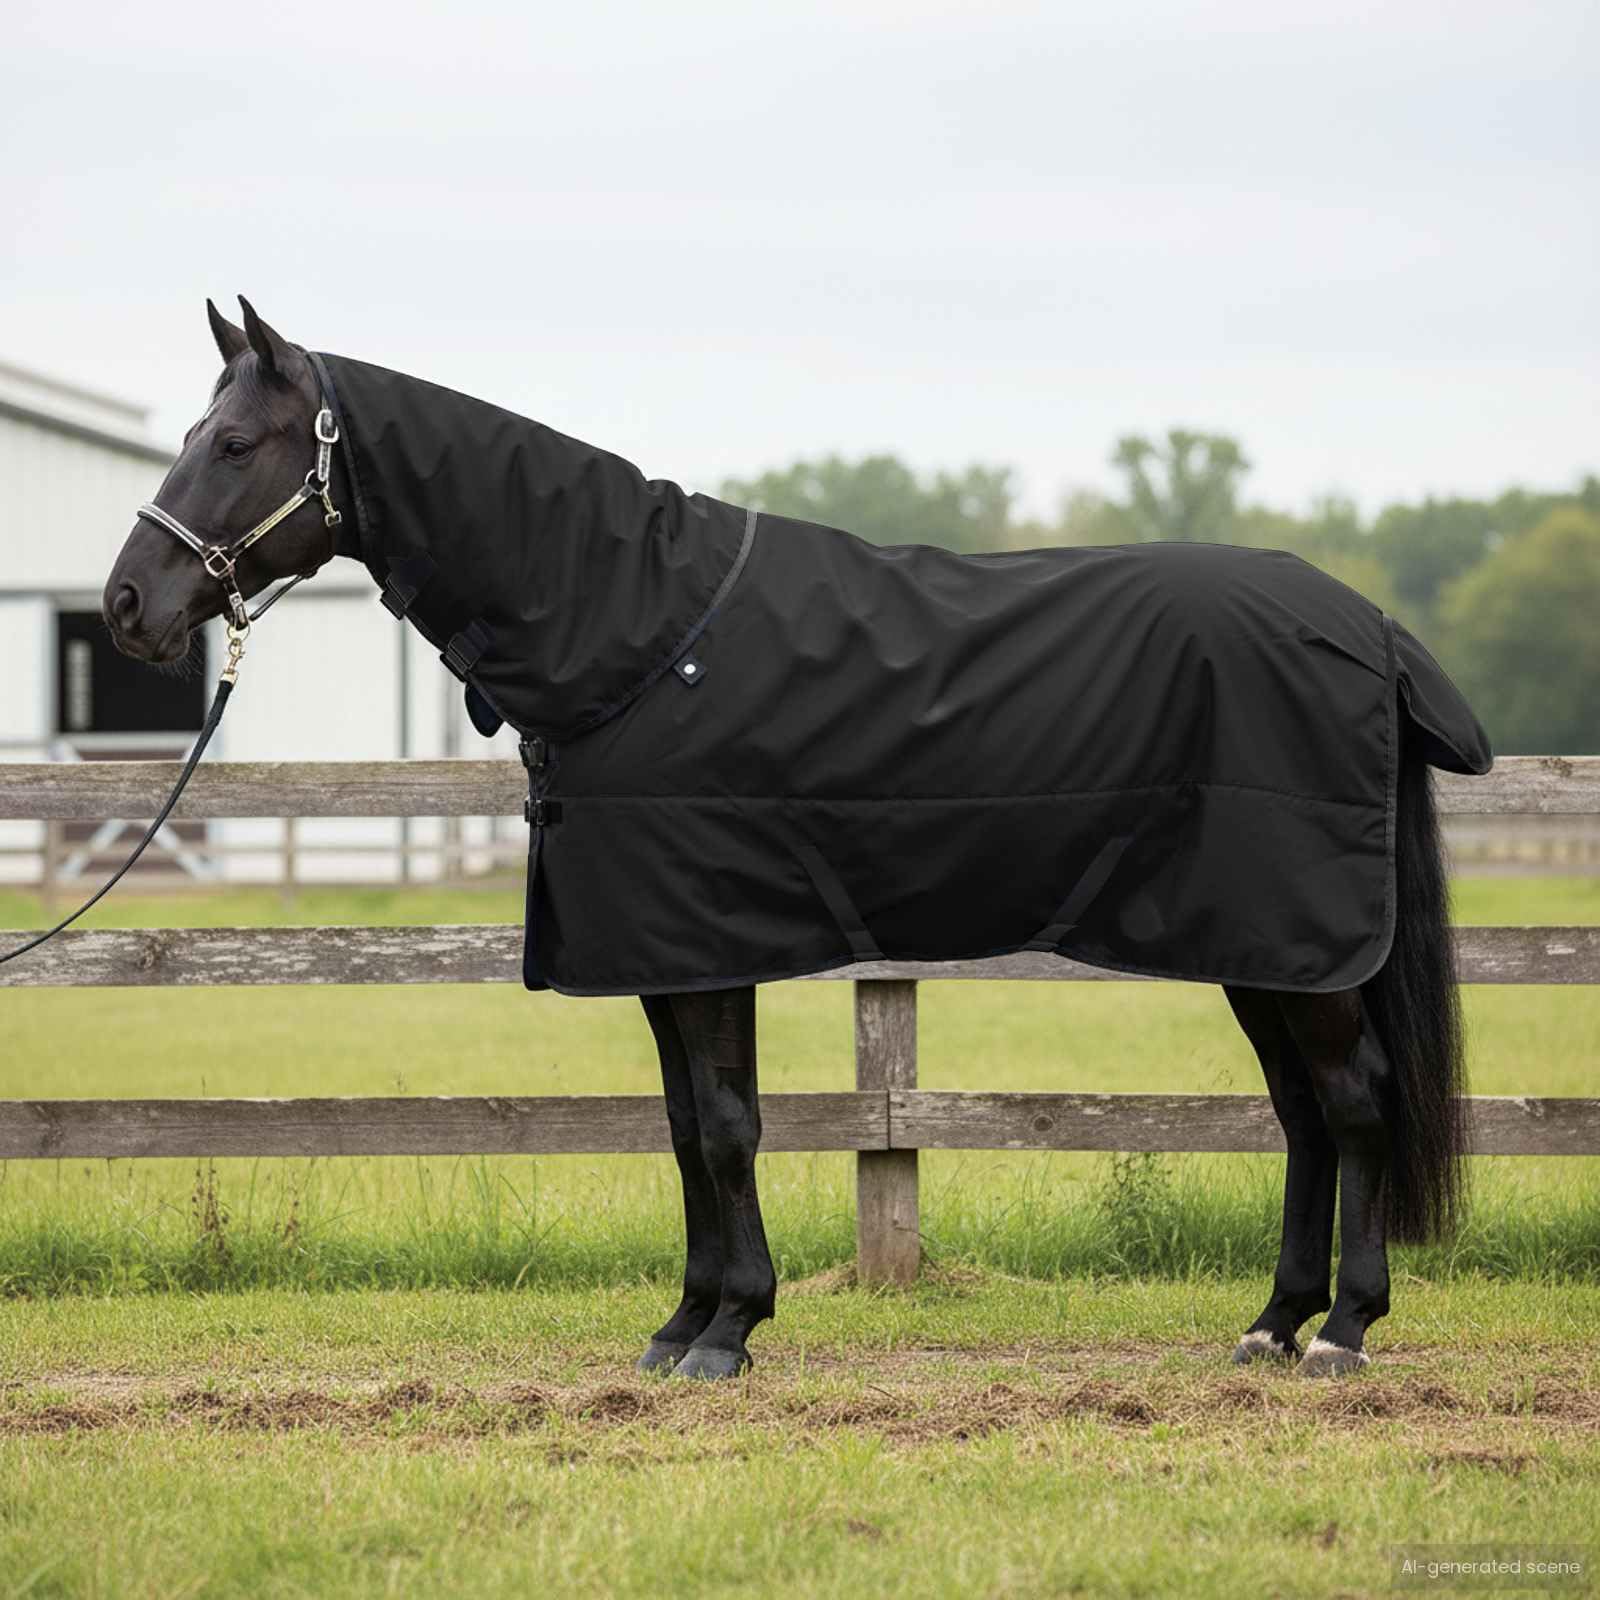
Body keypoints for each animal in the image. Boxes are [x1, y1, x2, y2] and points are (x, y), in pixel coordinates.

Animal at [102, 297, 1489, 1381]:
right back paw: (1270, 1323)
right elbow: (682, 1128)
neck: (638, 629)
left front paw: (728, 1332)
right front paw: (683, 1324)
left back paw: (1342, 1331)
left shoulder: (707, 940)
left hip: (1294, 939)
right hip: (1263, 948)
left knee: (1353, 1102)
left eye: (234, 442)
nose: (126, 605)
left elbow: (725, 1125)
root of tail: (1366, 625)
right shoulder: (661, 954)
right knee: (1303, 1114)